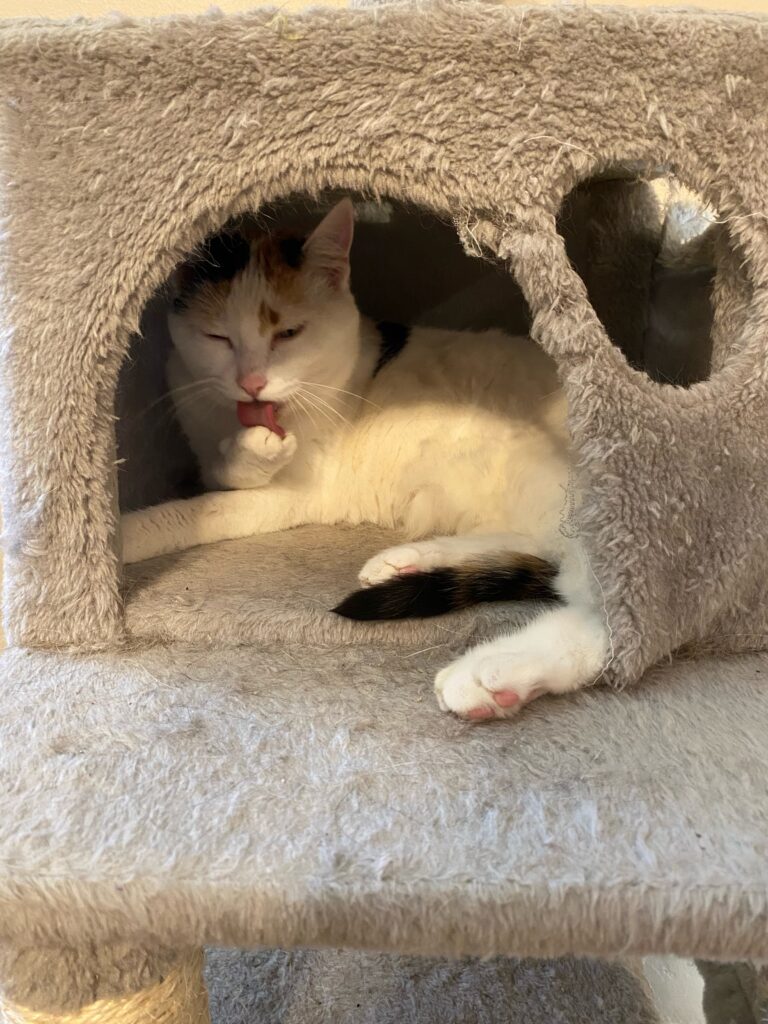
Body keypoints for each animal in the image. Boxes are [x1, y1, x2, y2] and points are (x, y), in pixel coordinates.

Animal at [123, 197, 610, 720]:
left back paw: (494, 672)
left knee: (607, 614)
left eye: (289, 334)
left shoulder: (298, 493)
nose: (251, 383)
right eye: (218, 338)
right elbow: (219, 469)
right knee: (540, 550)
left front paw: (121, 536)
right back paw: (407, 562)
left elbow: (194, 510)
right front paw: (248, 448)